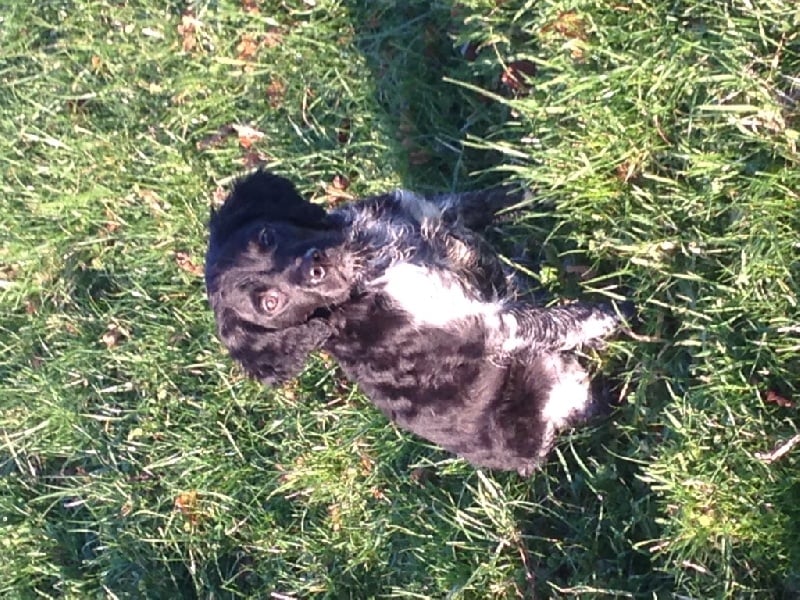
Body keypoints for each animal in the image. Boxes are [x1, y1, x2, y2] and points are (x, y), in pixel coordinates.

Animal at [206, 171, 632, 476]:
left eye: (267, 236)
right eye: (269, 303)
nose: (316, 267)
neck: (370, 259)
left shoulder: (436, 212)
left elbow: (497, 195)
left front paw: (548, 184)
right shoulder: (489, 326)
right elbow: (555, 321)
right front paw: (614, 311)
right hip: (555, 390)